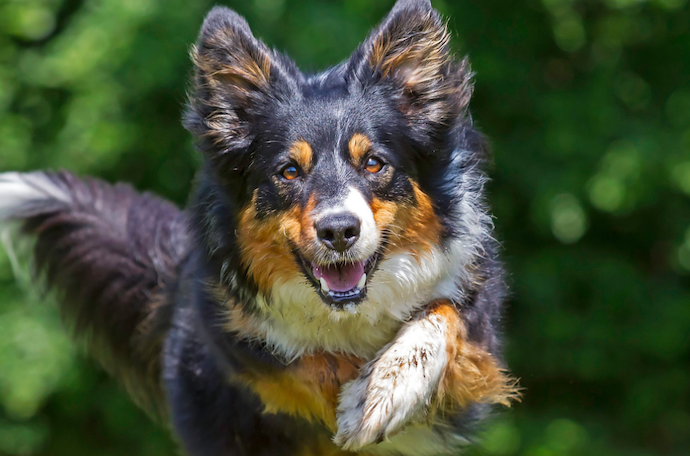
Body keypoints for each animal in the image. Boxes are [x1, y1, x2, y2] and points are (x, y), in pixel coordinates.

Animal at [0, 1, 516, 454]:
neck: (346, 314)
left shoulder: (476, 302)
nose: (339, 231)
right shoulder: (226, 332)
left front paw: (383, 389)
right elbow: (293, 365)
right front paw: (356, 390)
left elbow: (444, 315)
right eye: (288, 171)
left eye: (373, 163)